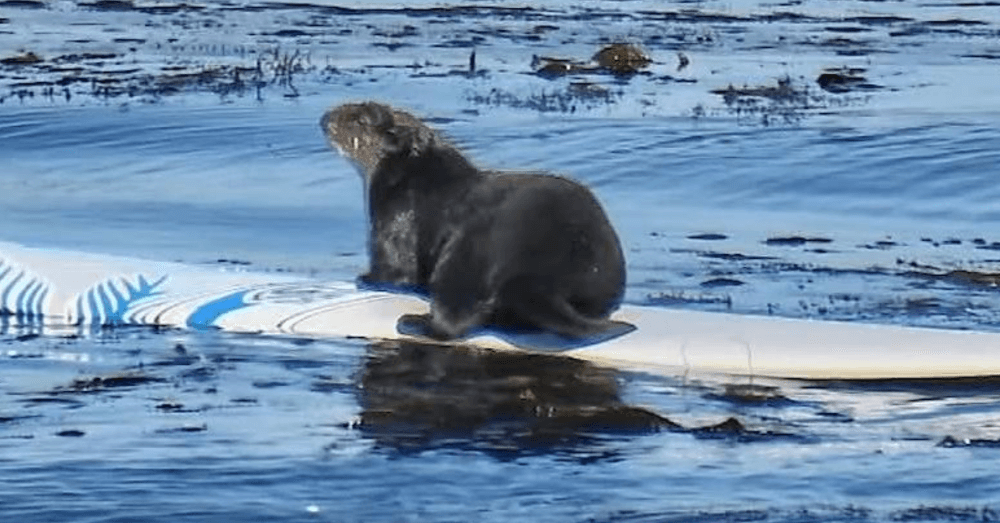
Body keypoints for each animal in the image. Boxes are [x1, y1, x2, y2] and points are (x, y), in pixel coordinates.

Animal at [320, 101, 633, 343]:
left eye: (359, 119)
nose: (326, 118)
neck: (419, 174)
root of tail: (542, 276)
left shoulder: (394, 217)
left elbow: (396, 271)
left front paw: (366, 278)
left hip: (471, 250)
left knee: (452, 319)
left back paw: (414, 321)